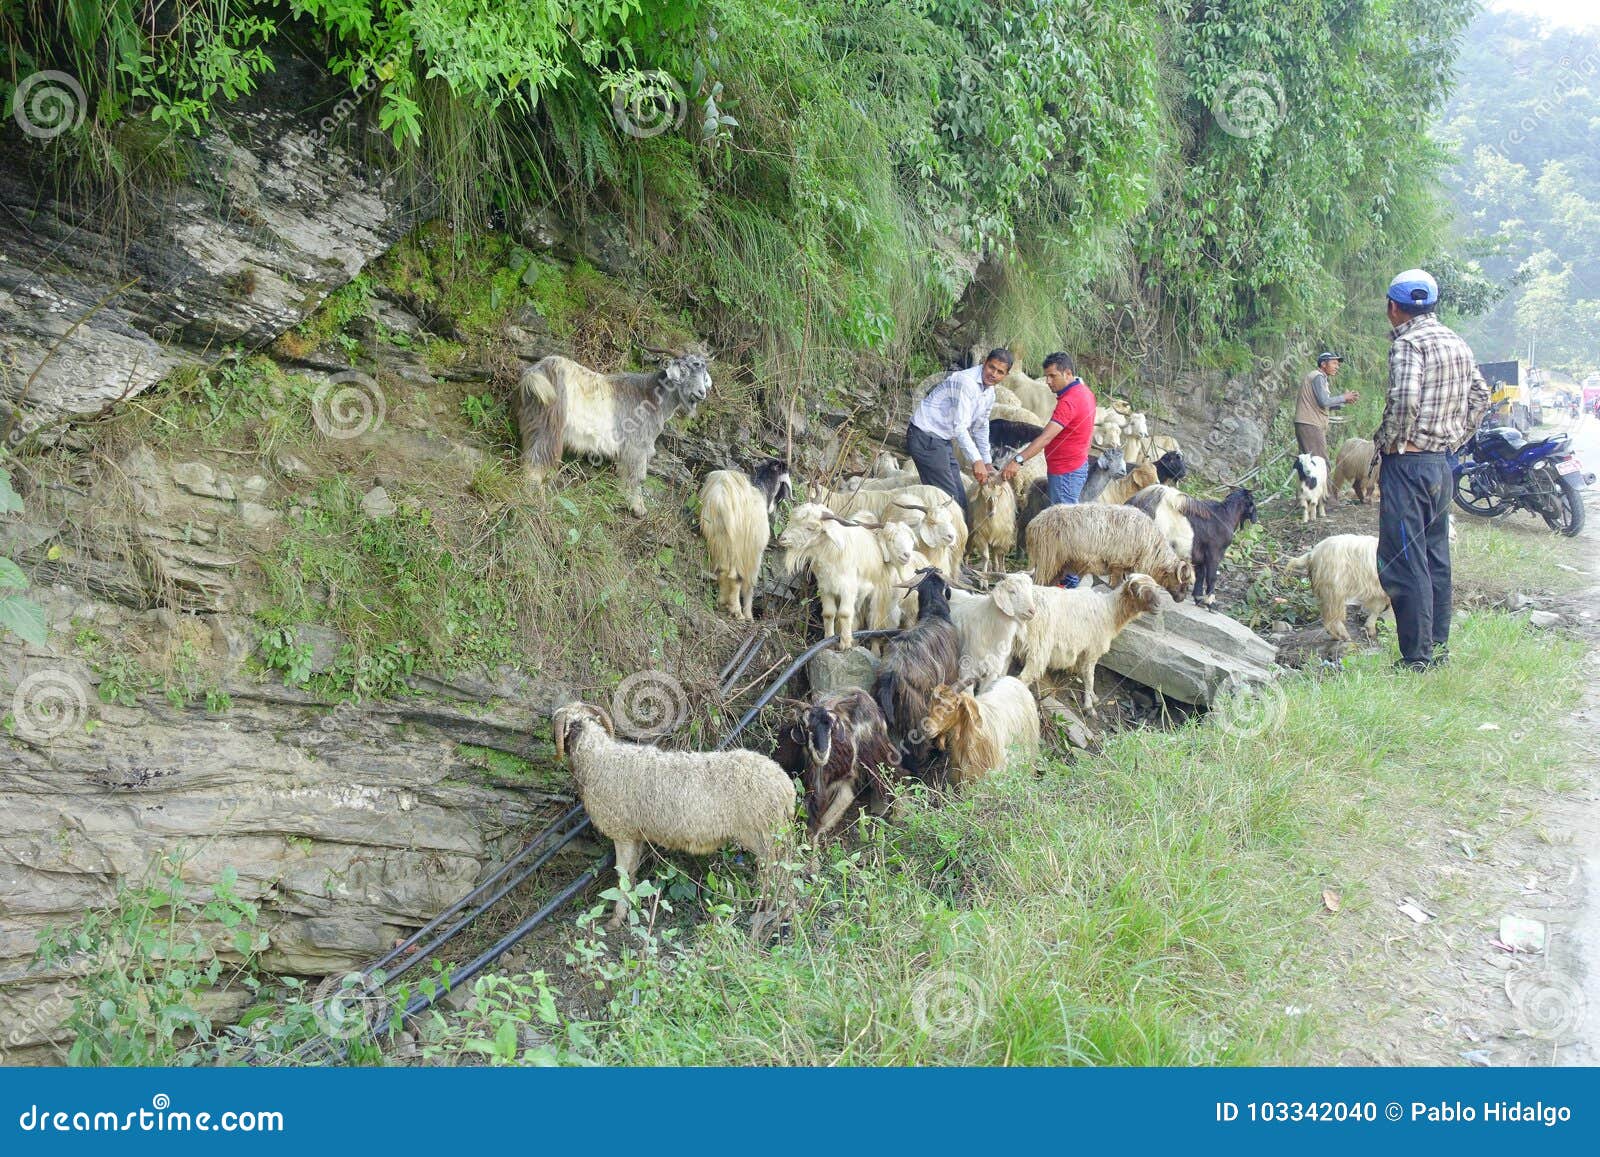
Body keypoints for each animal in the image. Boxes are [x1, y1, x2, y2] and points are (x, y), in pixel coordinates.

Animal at [518, 353, 713, 515]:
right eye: (684, 370)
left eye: (704, 373)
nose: (701, 393)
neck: (652, 397)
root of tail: (536, 372)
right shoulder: (636, 447)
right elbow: (637, 477)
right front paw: (638, 509)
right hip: (550, 425)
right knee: (538, 458)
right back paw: (536, 501)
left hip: (533, 423)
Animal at [553, 700, 796, 928]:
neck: (598, 759)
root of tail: (785, 785)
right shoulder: (636, 835)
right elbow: (631, 873)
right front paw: (631, 909)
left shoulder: (623, 834)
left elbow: (622, 876)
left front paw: (615, 918)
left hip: (763, 834)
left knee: (779, 871)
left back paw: (778, 913)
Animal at [697, 460, 790, 624]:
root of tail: (721, 496)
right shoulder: (754, 549)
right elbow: (750, 583)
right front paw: (749, 615)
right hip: (737, 543)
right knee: (736, 577)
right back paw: (738, 612)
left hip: (718, 537)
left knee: (723, 570)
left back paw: (722, 602)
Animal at [1024, 572, 1164, 710]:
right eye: (1137, 590)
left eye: (1156, 588)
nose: (1158, 606)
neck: (1111, 611)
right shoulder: (1093, 650)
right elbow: (1089, 676)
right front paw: (1089, 704)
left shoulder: (1085, 650)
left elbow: (1085, 672)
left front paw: (1092, 696)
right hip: (1039, 647)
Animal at [1030, 502, 1196, 601]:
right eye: (1184, 580)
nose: (1181, 599)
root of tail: (1034, 523)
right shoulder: (1118, 562)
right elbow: (1116, 585)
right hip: (1047, 560)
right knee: (1038, 582)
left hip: (1060, 564)